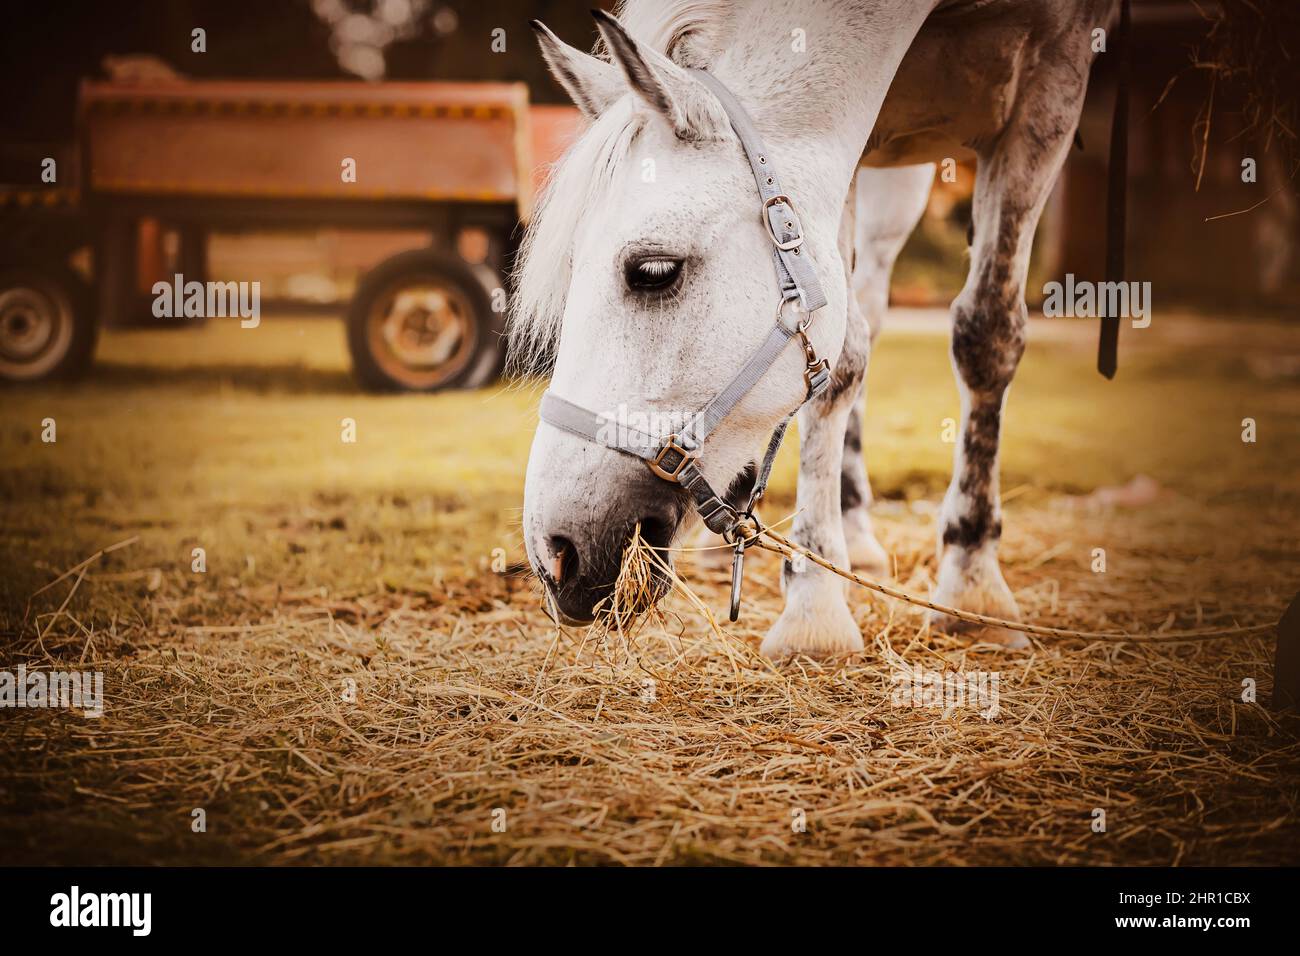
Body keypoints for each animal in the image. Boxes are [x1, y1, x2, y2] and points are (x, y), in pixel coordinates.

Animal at [512, 0, 1112, 658]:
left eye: (653, 271)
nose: (555, 556)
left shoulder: (1049, 90)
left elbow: (987, 336)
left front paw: (972, 584)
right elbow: (843, 363)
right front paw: (817, 601)